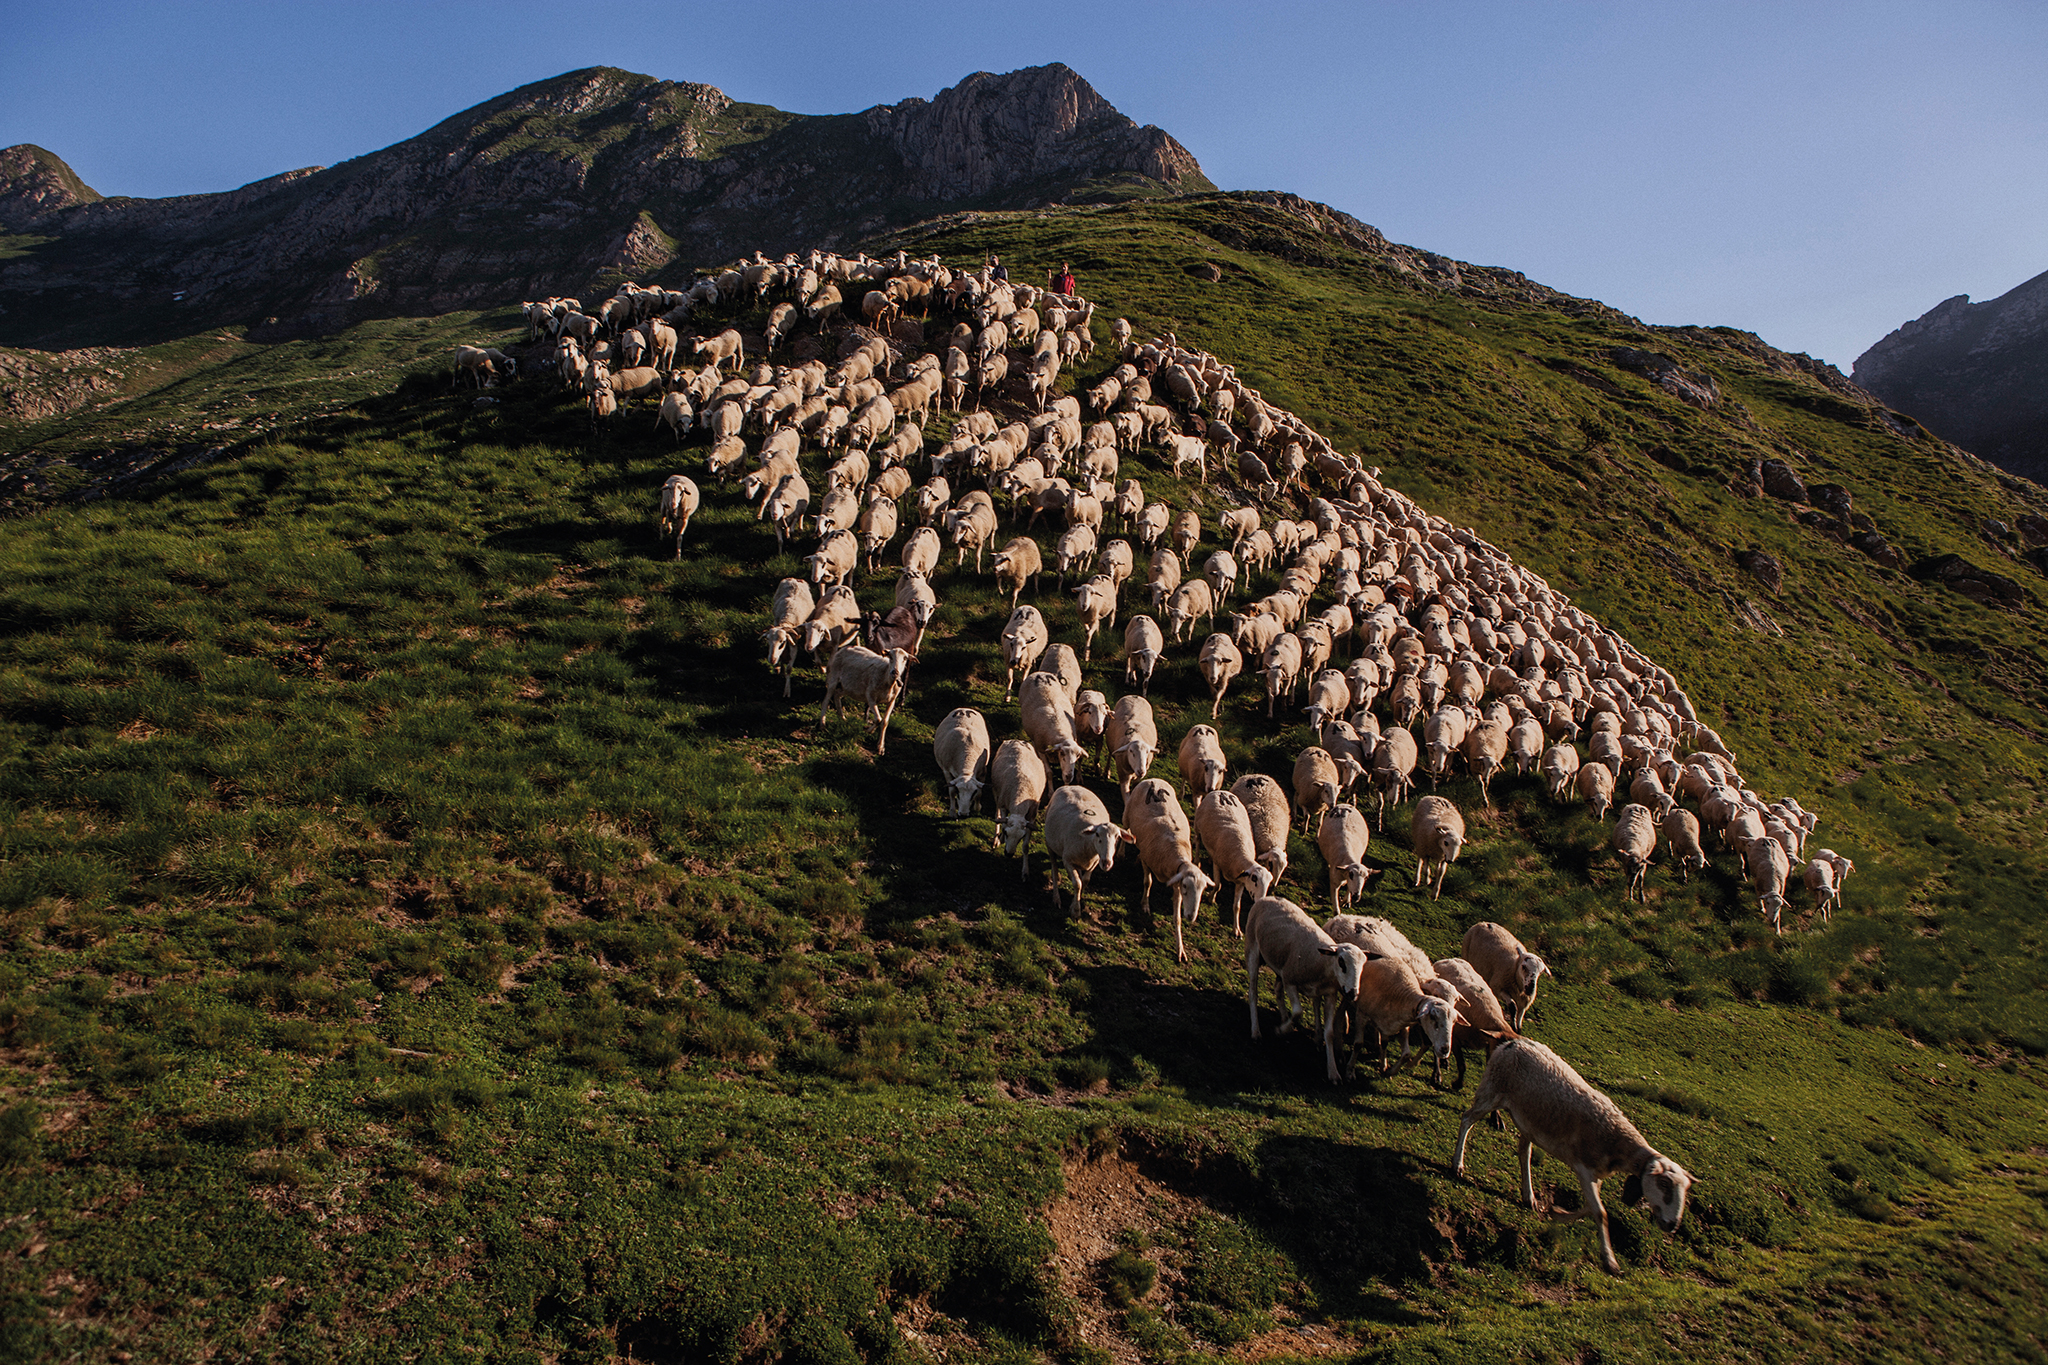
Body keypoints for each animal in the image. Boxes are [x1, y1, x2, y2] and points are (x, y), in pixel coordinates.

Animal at [995, 740, 1056, 879]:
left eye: (1021, 837)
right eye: (1007, 833)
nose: (1009, 854)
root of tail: (1016, 740)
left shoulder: (1031, 816)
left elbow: (1026, 847)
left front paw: (1025, 871)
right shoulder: (1003, 804)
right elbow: (1003, 822)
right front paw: (1001, 837)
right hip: (996, 792)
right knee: (997, 813)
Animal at [1196, 789, 1269, 941]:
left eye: (1269, 883)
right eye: (1254, 879)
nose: (1261, 900)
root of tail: (1220, 791)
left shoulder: (1241, 882)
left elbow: (1237, 906)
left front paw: (1237, 930)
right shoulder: (1218, 863)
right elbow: (1218, 884)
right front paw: (1211, 898)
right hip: (1197, 826)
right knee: (1198, 841)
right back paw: (1197, 859)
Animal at [1236, 896, 1368, 1088]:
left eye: (1363, 966)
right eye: (1342, 962)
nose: (1353, 994)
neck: (1323, 962)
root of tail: (1267, 897)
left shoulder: (1330, 994)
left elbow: (1329, 1033)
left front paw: (1333, 1072)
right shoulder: (1290, 980)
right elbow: (1298, 1012)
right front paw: (1281, 1030)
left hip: (1279, 964)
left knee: (1277, 989)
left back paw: (1284, 1017)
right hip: (1253, 950)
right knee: (1253, 992)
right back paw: (1256, 1031)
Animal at [1441, 1039, 1695, 1277]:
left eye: (1685, 1189)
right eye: (1664, 1184)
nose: (1672, 1225)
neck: (1617, 1142)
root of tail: (1512, 1043)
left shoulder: (1596, 1174)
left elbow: (1591, 1207)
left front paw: (1557, 1214)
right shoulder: (1584, 1168)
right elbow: (1600, 1212)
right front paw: (1610, 1261)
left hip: (1529, 1120)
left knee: (1524, 1152)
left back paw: (1529, 1196)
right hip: (1492, 1091)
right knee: (1467, 1119)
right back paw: (1457, 1164)